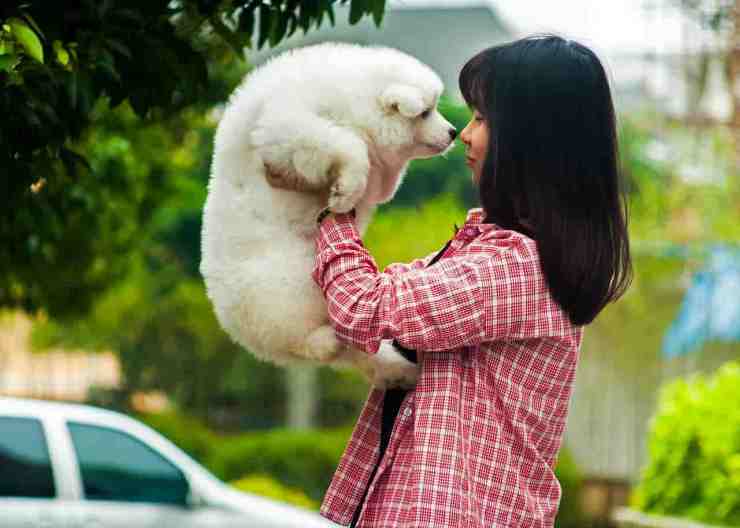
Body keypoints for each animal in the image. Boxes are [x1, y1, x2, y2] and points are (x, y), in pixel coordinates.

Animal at [202, 42, 456, 388]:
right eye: (426, 112)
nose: (454, 131)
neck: (355, 100)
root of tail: (231, 321)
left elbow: (379, 175)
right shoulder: (288, 124)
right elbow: (348, 144)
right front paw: (344, 193)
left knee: (360, 351)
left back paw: (402, 371)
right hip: (284, 283)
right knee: (299, 338)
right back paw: (328, 341)